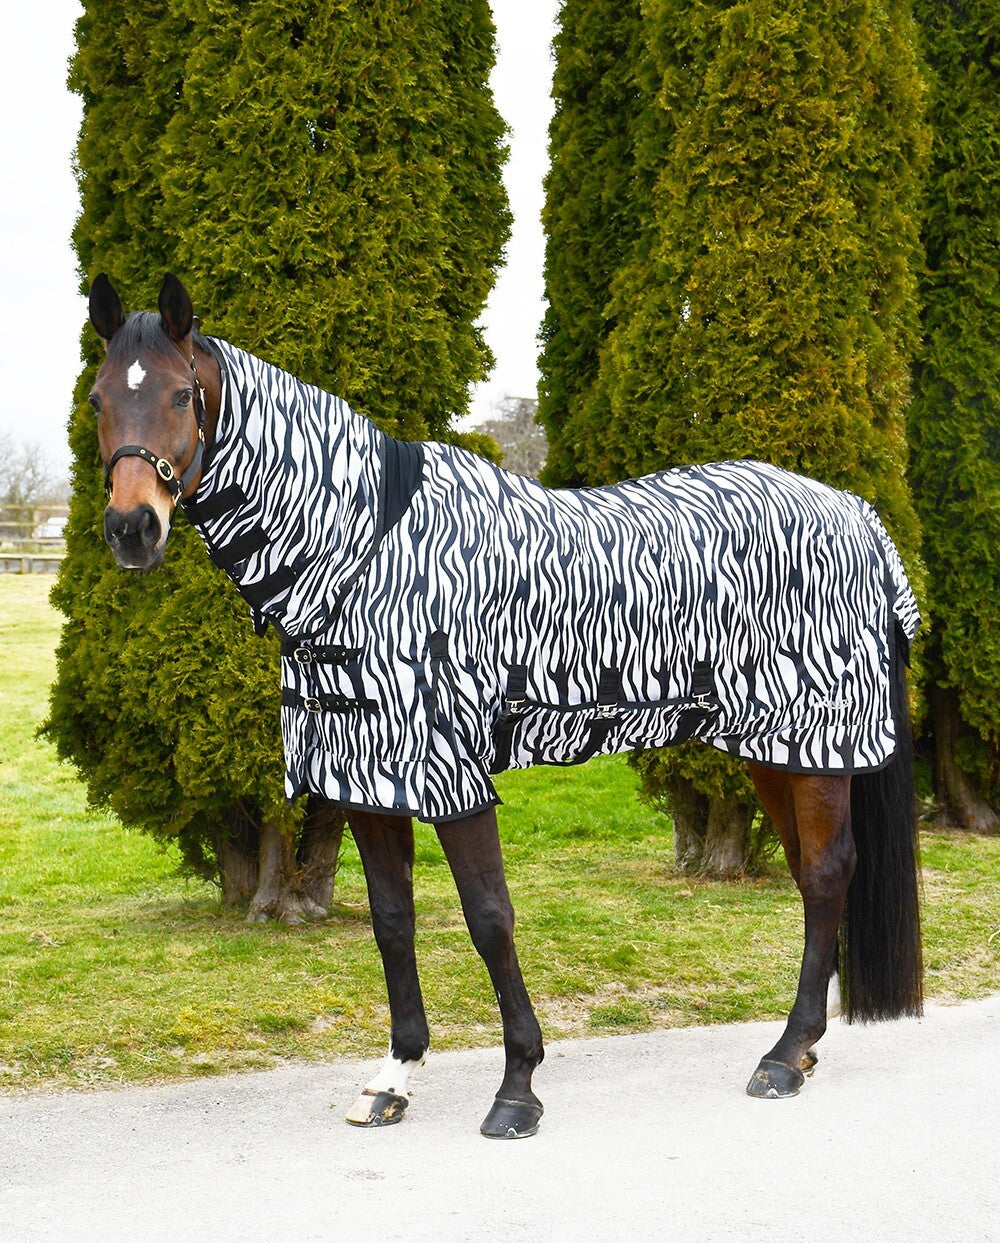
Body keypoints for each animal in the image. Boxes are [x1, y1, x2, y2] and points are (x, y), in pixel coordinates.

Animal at [86, 272, 923, 1139]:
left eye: (181, 394)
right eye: (98, 398)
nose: (131, 528)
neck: (367, 554)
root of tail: (855, 513)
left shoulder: (451, 775)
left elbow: (490, 917)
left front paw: (517, 1085)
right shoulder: (369, 782)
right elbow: (392, 921)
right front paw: (394, 1076)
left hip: (819, 743)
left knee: (826, 874)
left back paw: (784, 1057)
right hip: (774, 750)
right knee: (810, 876)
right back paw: (802, 1047)